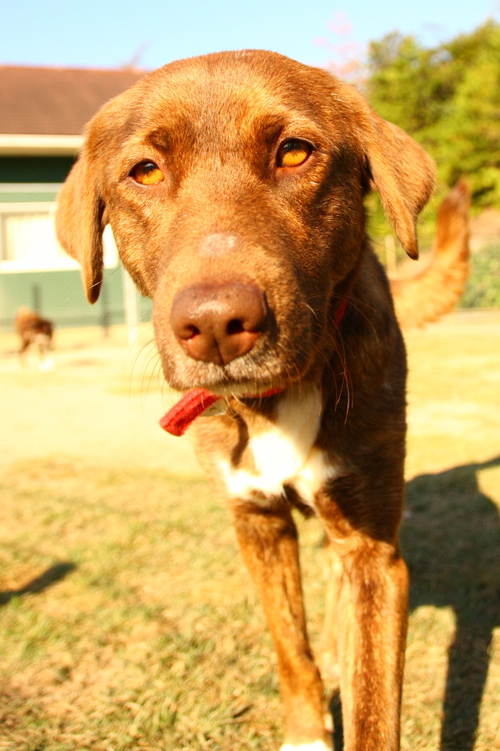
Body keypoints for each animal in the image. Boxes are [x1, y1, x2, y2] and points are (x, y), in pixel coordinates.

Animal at [57, 50, 468, 748]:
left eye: (295, 153)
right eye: (145, 171)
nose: (217, 324)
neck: (275, 401)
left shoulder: (373, 551)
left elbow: (373, 705)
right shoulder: (254, 520)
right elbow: (288, 647)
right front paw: (307, 729)